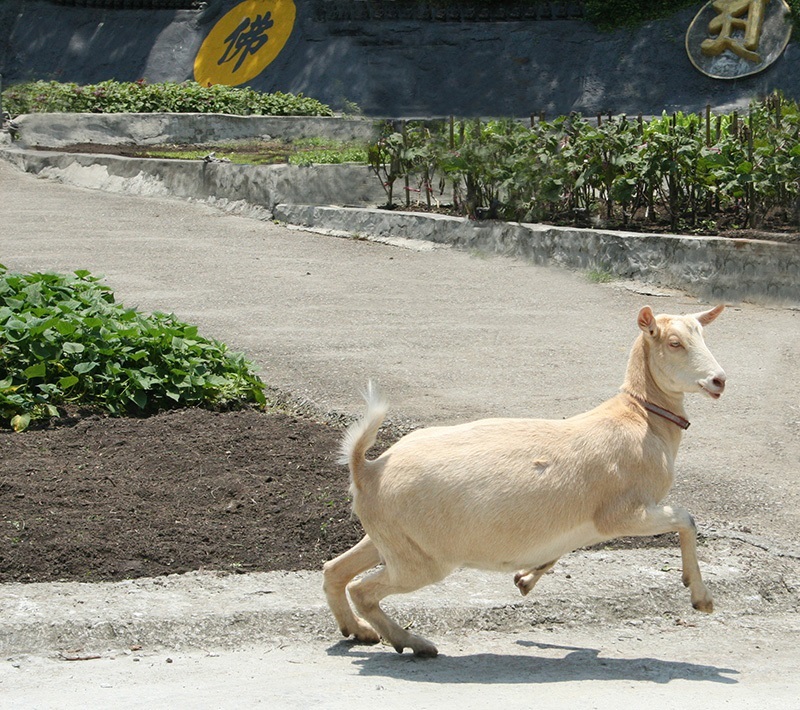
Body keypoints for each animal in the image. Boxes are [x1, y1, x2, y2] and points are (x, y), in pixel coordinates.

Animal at [322, 304, 728, 660]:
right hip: (422, 559)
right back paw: (414, 643)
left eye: (702, 334)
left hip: (390, 538)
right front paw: (701, 598)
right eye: (673, 342)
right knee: (362, 588)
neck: (640, 419)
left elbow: (557, 550)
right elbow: (686, 518)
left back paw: (358, 631)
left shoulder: (578, 522)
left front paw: (524, 578)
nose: (719, 380)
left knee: (335, 571)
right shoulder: (622, 513)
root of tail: (367, 469)